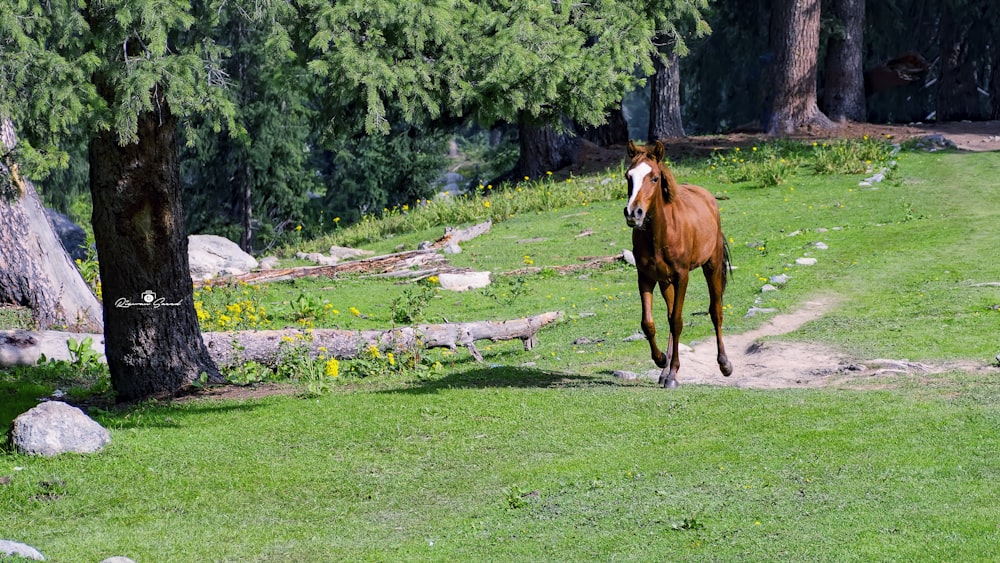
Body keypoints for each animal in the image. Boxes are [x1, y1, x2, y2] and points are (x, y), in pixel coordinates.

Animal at [620, 141, 732, 388]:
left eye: (654, 178)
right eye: (628, 176)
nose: (633, 213)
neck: (660, 234)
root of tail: (709, 198)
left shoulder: (682, 276)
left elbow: (678, 321)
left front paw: (673, 375)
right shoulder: (645, 277)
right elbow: (649, 323)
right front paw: (661, 360)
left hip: (711, 266)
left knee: (715, 311)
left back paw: (724, 364)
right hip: (665, 282)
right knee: (670, 314)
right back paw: (665, 369)